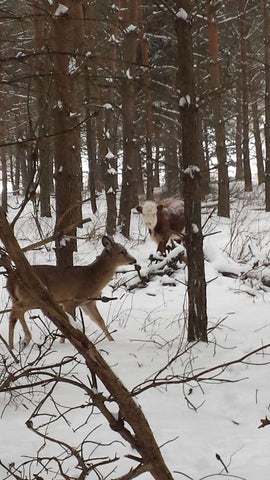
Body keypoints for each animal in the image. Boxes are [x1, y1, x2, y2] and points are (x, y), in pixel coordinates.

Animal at [6, 235, 137, 348]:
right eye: (122, 251)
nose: (134, 260)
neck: (92, 278)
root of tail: (11, 279)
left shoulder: (88, 302)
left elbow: (100, 321)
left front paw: (112, 341)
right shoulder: (70, 301)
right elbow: (70, 323)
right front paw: (65, 343)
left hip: (20, 298)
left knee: (18, 312)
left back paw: (25, 340)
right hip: (32, 296)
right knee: (15, 312)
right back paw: (11, 346)